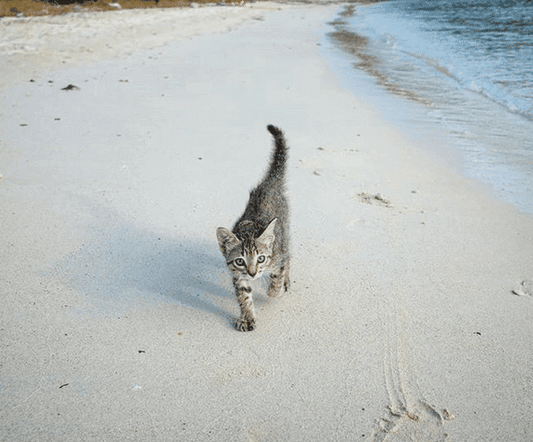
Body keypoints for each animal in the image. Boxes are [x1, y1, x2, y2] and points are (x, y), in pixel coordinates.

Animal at [216, 124, 290, 332]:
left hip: (285, 233)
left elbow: (277, 279)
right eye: (240, 261)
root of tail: (269, 183)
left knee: (289, 256)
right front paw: (247, 317)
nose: (252, 273)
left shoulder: (277, 257)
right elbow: (243, 295)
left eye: (261, 258)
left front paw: (274, 290)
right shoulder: (237, 275)